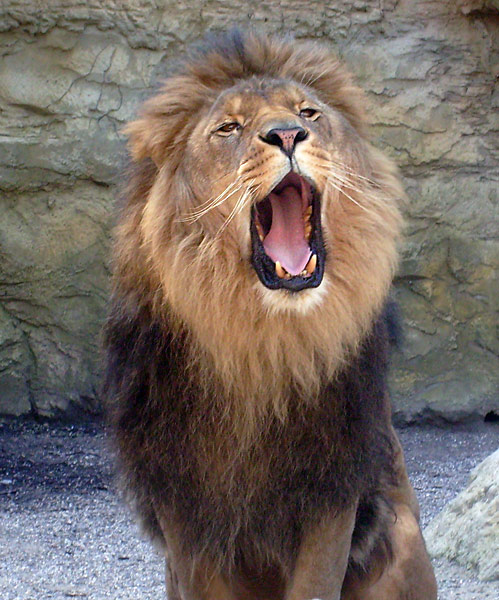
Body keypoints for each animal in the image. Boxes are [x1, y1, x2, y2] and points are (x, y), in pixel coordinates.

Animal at [104, 29, 438, 600]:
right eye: (228, 128)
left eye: (308, 112)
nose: (287, 134)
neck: (262, 345)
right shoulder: (182, 505)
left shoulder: (331, 491)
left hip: (400, 537)